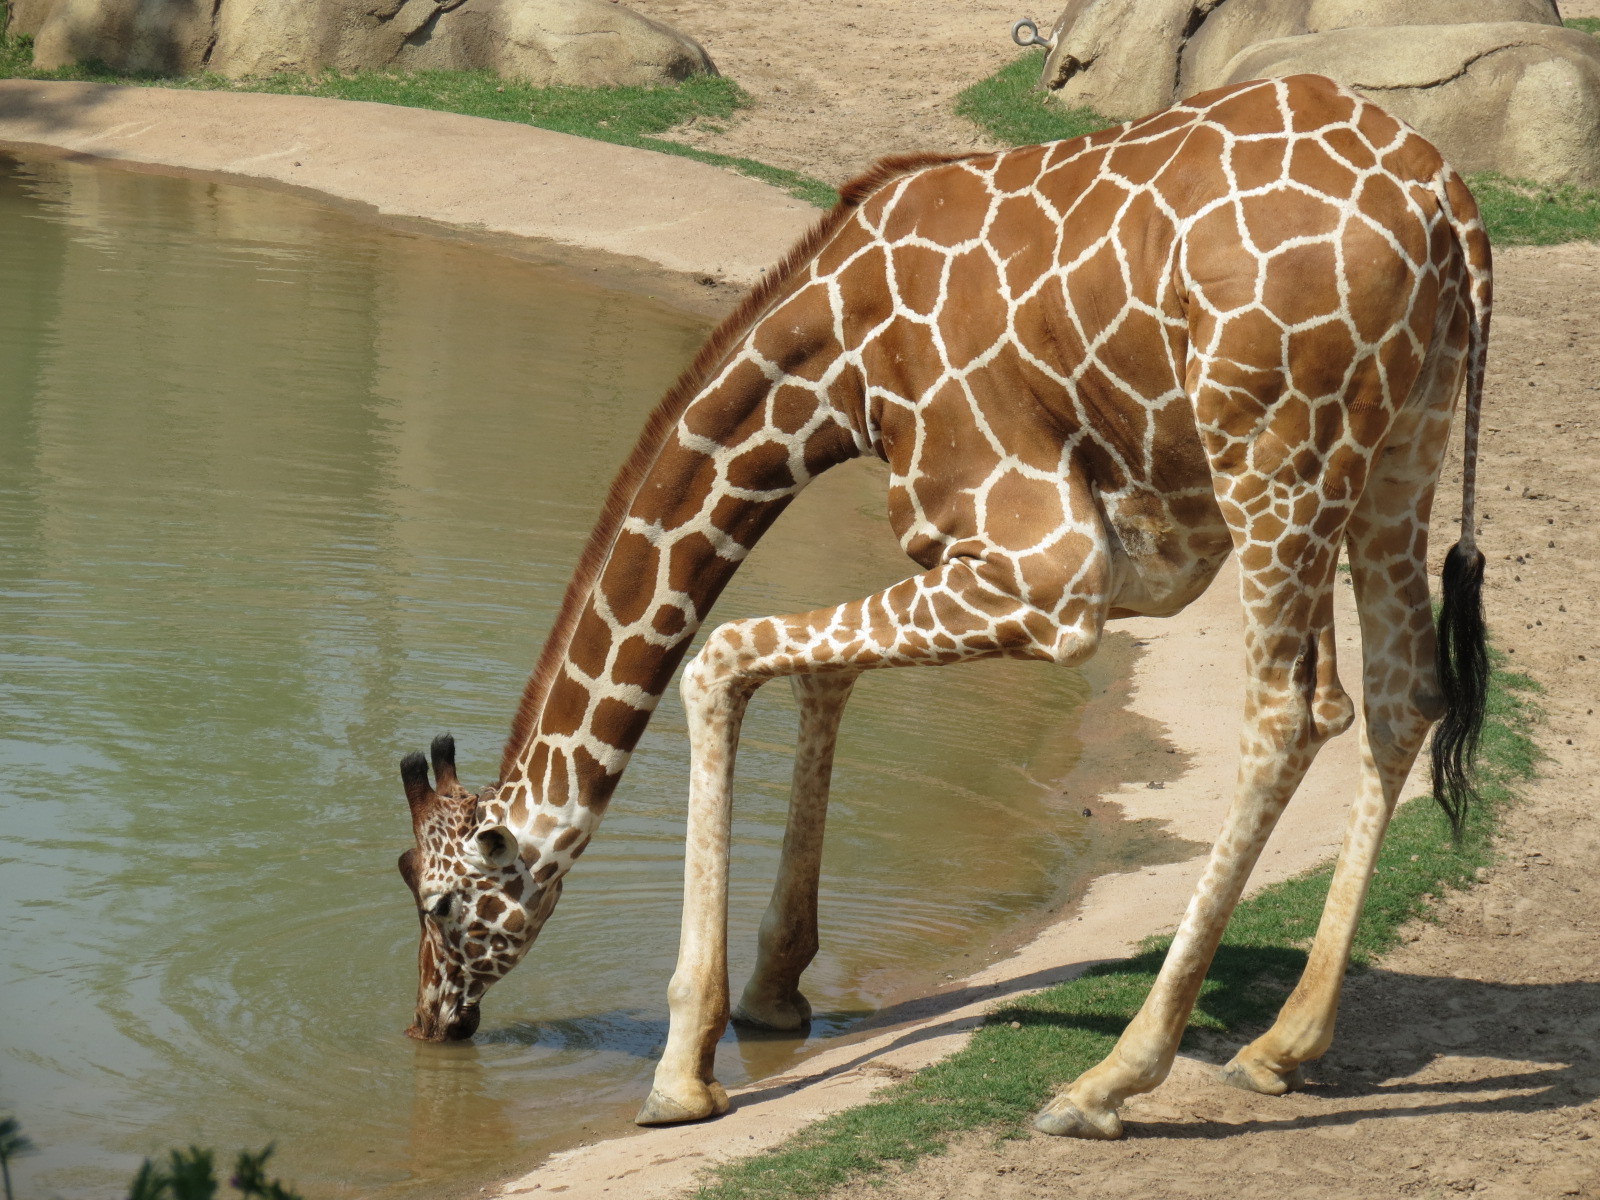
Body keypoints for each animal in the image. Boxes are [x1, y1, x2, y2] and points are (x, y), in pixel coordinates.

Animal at [395, 72, 1491, 1136]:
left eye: (439, 903)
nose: (428, 1021)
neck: (834, 357)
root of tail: (1446, 204)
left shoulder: (1052, 572)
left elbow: (720, 656)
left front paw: (683, 1073)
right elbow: (816, 667)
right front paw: (775, 990)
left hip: (1273, 456)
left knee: (1285, 715)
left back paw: (1107, 1082)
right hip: (1401, 446)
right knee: (1402, 697)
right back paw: (1281, 1046)